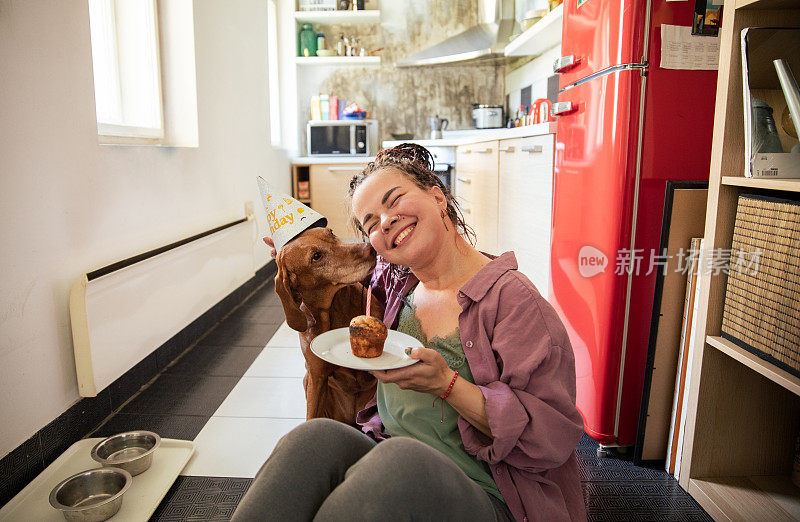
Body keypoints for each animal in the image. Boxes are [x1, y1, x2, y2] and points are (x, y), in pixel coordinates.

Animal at [274, 226, 382, 422]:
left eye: (330, 232)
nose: (370, 248)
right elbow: (310, 417)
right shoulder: (316, 377)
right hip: (307, 381)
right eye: (316, 256)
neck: (336, 310)